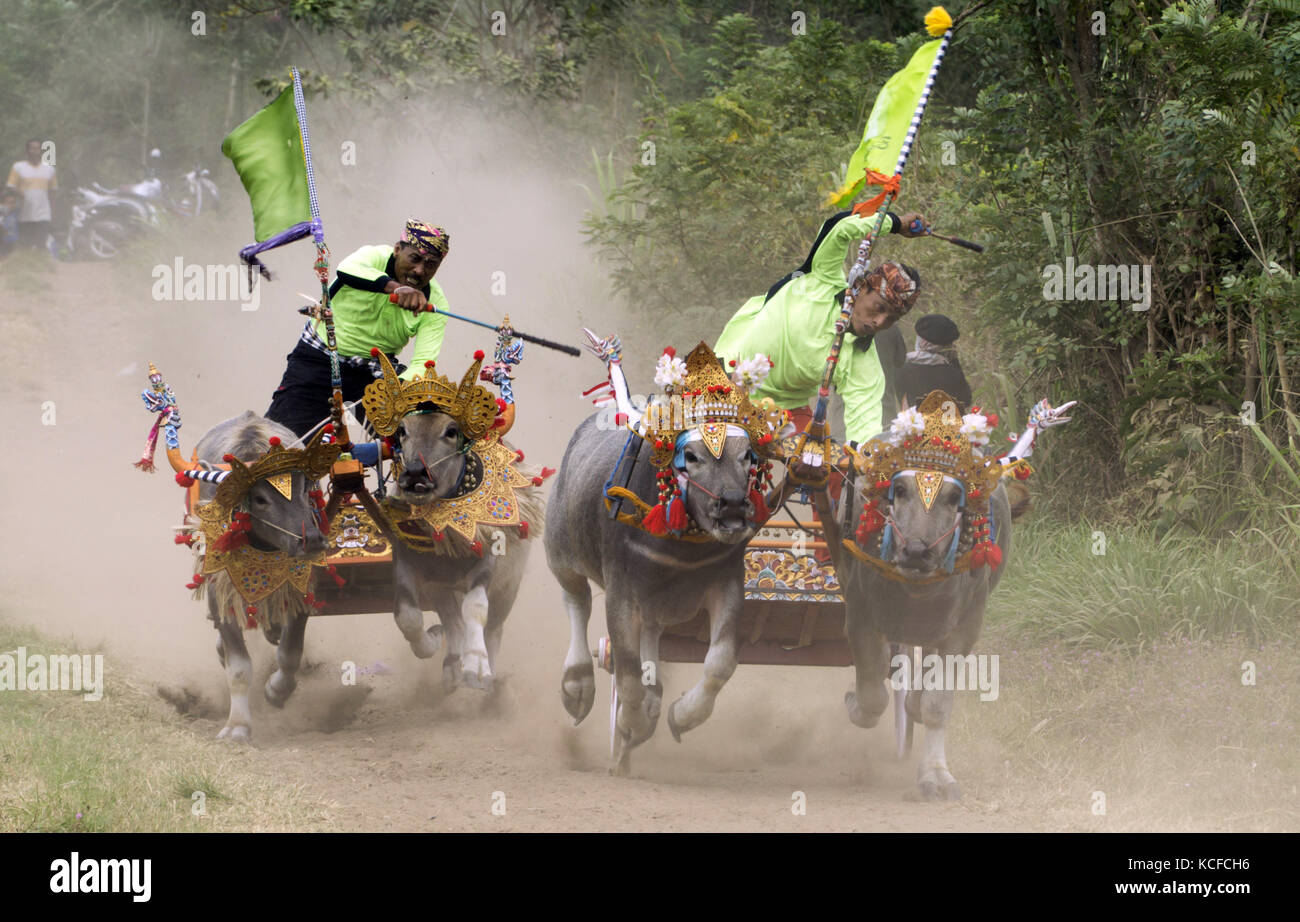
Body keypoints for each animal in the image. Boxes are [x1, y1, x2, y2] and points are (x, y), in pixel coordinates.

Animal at [546, 413, 759, 775]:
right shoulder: (621, 590)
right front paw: (630, 725)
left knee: (649, 634)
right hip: (560, 550)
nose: (732, 503)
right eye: (692, 457)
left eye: (746, 454)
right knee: (577, 602)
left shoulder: (727, 581)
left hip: (652, 603)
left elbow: (720, 662)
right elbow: (628, 675)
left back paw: (652, 701)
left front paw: (682, 716)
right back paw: (577, 684)